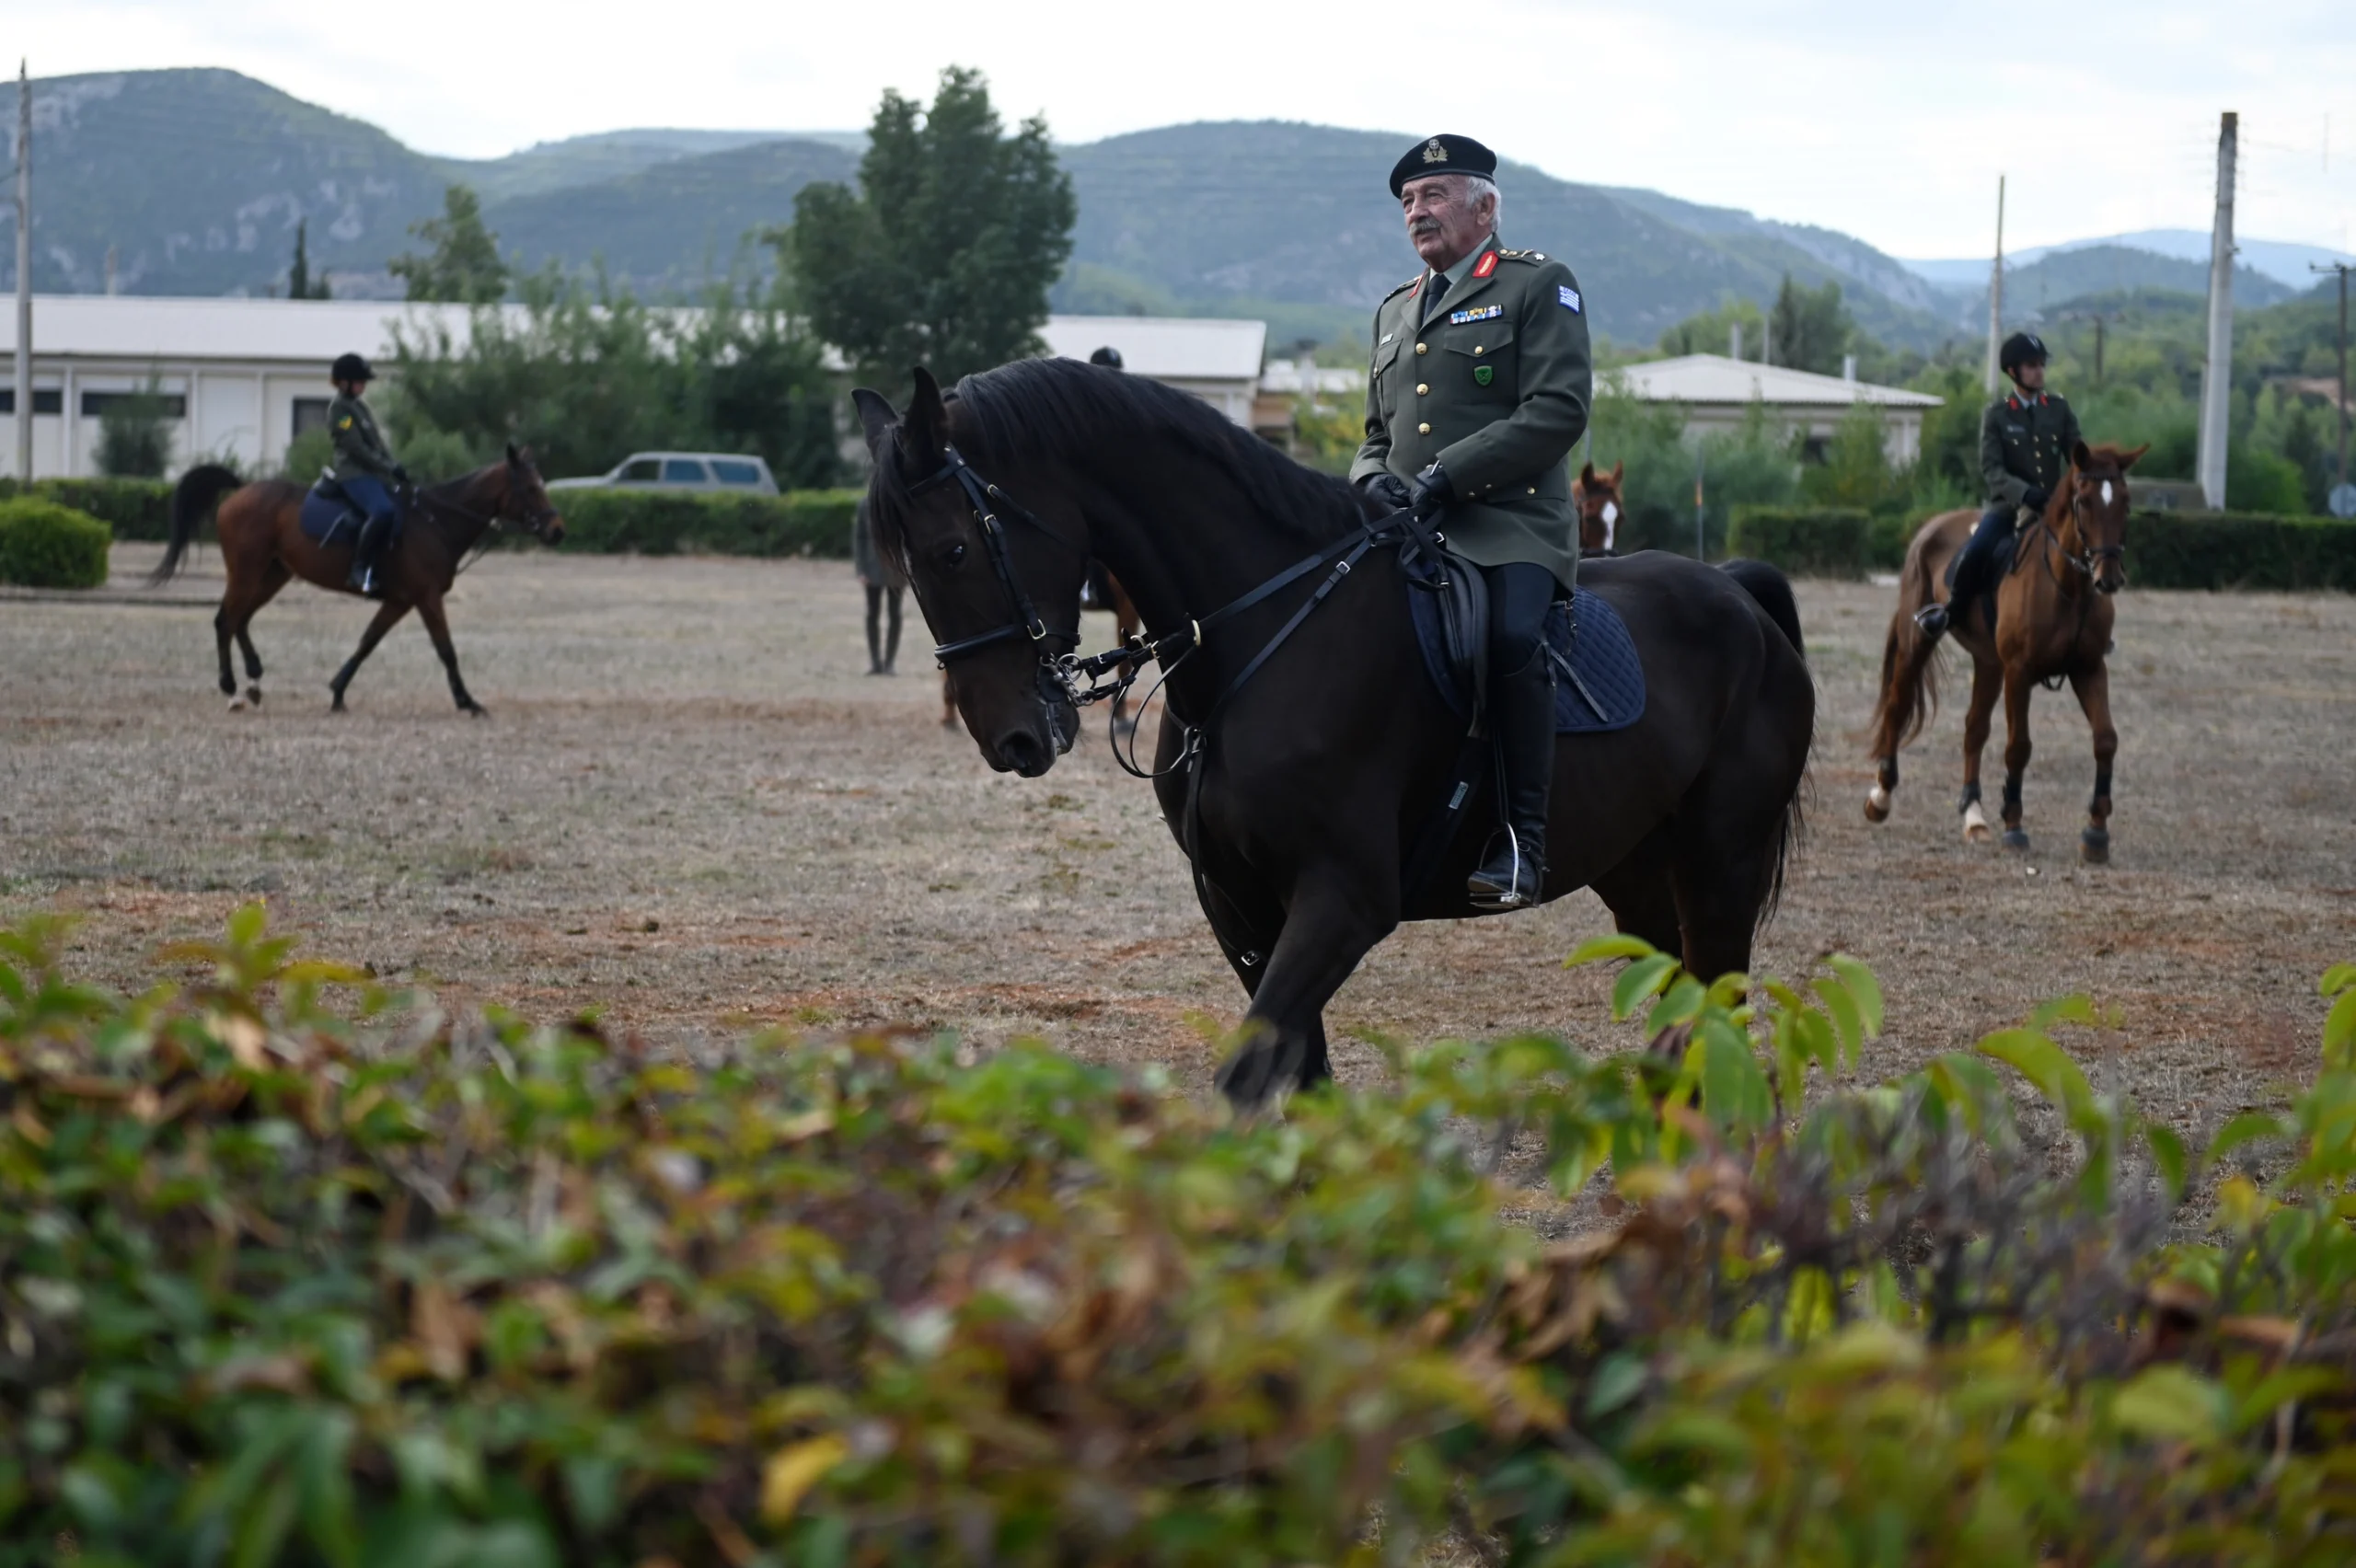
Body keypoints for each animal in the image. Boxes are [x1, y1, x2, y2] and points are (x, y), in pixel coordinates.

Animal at [155, 444, 565, 715]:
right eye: (531, 488)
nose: (558, 531)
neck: (435, 521)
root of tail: (240, 490)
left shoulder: (400, 600)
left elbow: (367, 642)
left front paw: (337, 693)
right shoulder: (426, 597)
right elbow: (446, 649)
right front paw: (468, 701)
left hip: (273, 575)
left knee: (241, 620)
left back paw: (254, 682)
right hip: (246, 572)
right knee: (226, 620)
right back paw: (231, 689)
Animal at [857, 363, 1809, 1097]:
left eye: (951, 551)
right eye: (907, 565)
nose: (1010, 739)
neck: (1262, 637)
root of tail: (1737, 593)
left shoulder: (1344, 900)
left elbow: (1246, 1079)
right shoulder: (1239, 905)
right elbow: (1299, 1077)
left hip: (1719, 866)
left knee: (1721, 1010)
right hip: (1638, 872)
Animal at [1865, 435, 2148, 857]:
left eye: (2126, 502)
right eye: (2083, 501)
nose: (2108, 578)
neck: (2066, 586)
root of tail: (1931, 525)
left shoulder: (2089, 668)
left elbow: (2105, 740)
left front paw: (2096, 831)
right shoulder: (2019, 672)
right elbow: (2019, 746)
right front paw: (2014, 824)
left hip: (1988, 662)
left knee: (1974, 728)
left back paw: (1974, 817)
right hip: (1921, 640)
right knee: (1899, 705)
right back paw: (1881, 798)